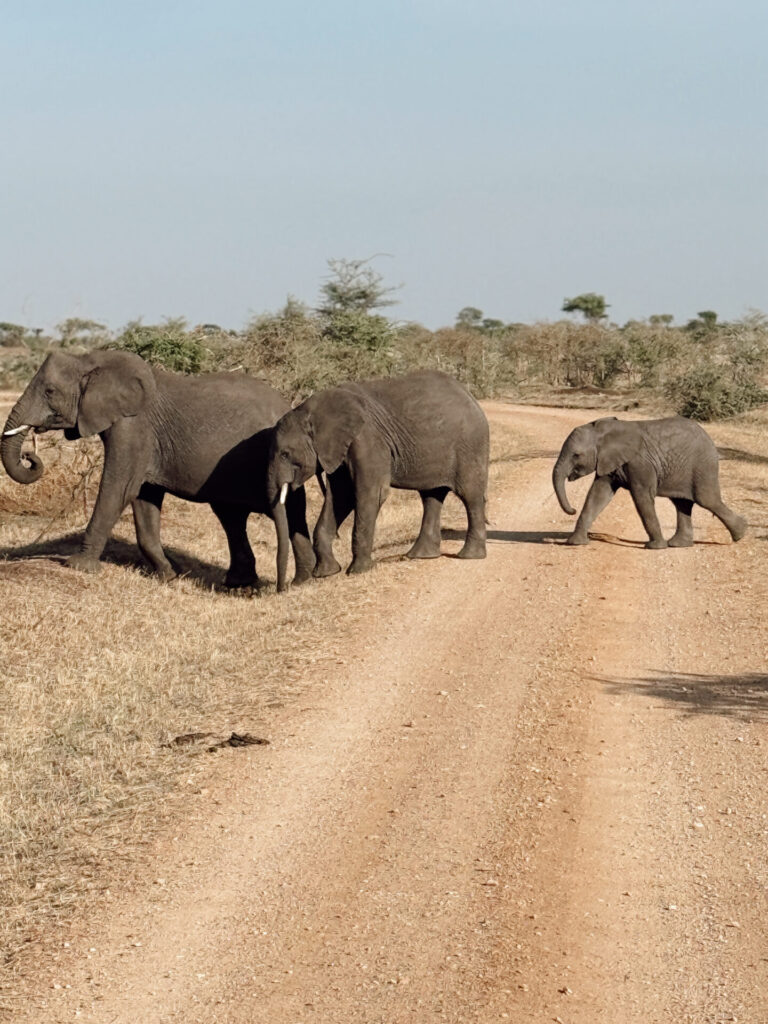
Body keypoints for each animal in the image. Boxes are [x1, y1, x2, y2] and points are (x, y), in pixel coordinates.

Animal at [1, 349, 315, 591]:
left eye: (50, 391)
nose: (30, 455)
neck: (91, 360)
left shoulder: (133, 426)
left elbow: (119, 488)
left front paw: (78, 566)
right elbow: (143, 498)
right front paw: (169, 576)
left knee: (277, 511)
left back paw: (292, 582)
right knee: (233, 516)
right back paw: (251, 583)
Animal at [267, 369, 489, 576]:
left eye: (285, 454)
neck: (313, 412)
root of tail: (471, 397)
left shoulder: (367, 438)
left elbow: (370, 493)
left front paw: (358, 571)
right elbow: (341, 497)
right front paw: (326, 573)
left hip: (470, 445)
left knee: (470, 495)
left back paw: (470, 556)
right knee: (431, 496)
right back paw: (419, 555)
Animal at [552, 415, 747, 548]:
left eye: (576, 455)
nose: (572, 510)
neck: (604, 431)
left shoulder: (640, 463)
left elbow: (642, 497)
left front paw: (655, 547)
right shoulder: (609, 461)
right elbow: (598, 494)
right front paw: (575, 543)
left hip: (703, 465)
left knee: (706, 499)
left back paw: (741, 533)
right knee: (682, 502)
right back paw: (678, 544)